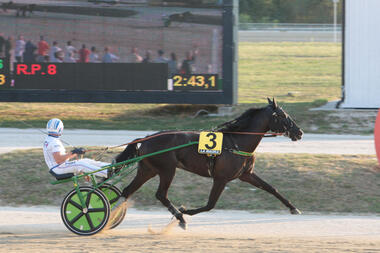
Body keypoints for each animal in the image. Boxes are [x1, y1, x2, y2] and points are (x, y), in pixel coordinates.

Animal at [115, 99, 302, 229]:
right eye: (283, 116)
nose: (299, 132)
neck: (236, 142)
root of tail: (146, 139)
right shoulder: (221, 178)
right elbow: (210, 205)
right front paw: (185, 211)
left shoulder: (246, 175)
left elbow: (271, 188)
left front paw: (293, 208)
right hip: (167, 170)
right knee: (161, 194)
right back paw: (180, 218)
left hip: (148, 170)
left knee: (127, 191)